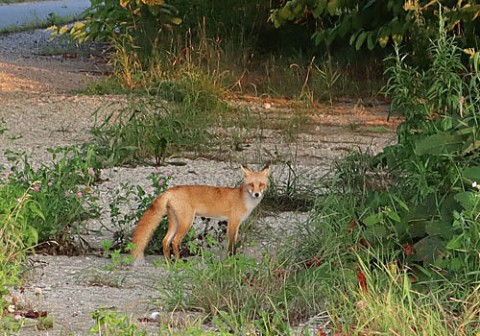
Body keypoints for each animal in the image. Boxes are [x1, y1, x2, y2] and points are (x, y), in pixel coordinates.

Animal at [130, 165, 270, 266]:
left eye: (261, 185)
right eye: (251, 184)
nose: (257, 194)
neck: (243, 199)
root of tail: (170, 190)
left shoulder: (234, 224)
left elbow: (231, 243)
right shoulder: (233, 222)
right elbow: (231, 244)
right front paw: (231, 260)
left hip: (175, 222)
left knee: (165, 240)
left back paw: (169, 262)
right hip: (186, 223)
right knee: (174, 241)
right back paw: (178, 261)